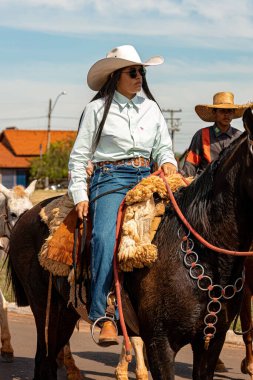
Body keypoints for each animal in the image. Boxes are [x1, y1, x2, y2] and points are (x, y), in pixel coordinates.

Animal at [5, 107, 253, 380]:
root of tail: (26, 215)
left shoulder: (211, 342)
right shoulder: (160, 343)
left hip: (66, 313)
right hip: (46, 310)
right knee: (44, 360)